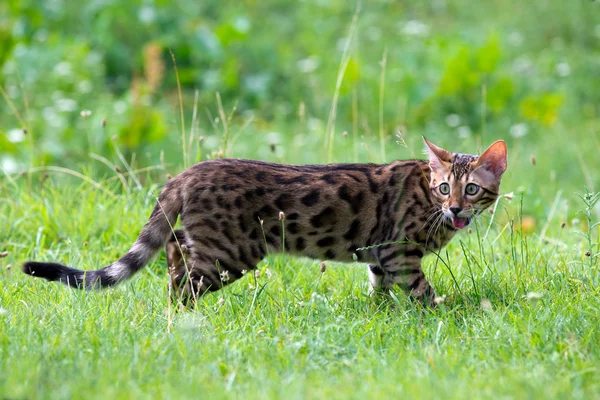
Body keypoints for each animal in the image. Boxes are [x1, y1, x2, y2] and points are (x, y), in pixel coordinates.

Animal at [21, 138, 506, 306]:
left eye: (472, 190)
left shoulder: (376, 253)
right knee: (182, 284)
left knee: (174, 250)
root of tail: (187, 172)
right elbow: (421, 290)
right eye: (444, 188)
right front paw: (439, 313)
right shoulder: (398, 250)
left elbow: (377, 286)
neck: (427, 198)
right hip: (230, 253)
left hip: (208, 244)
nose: (456, 209)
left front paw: (380, 312)